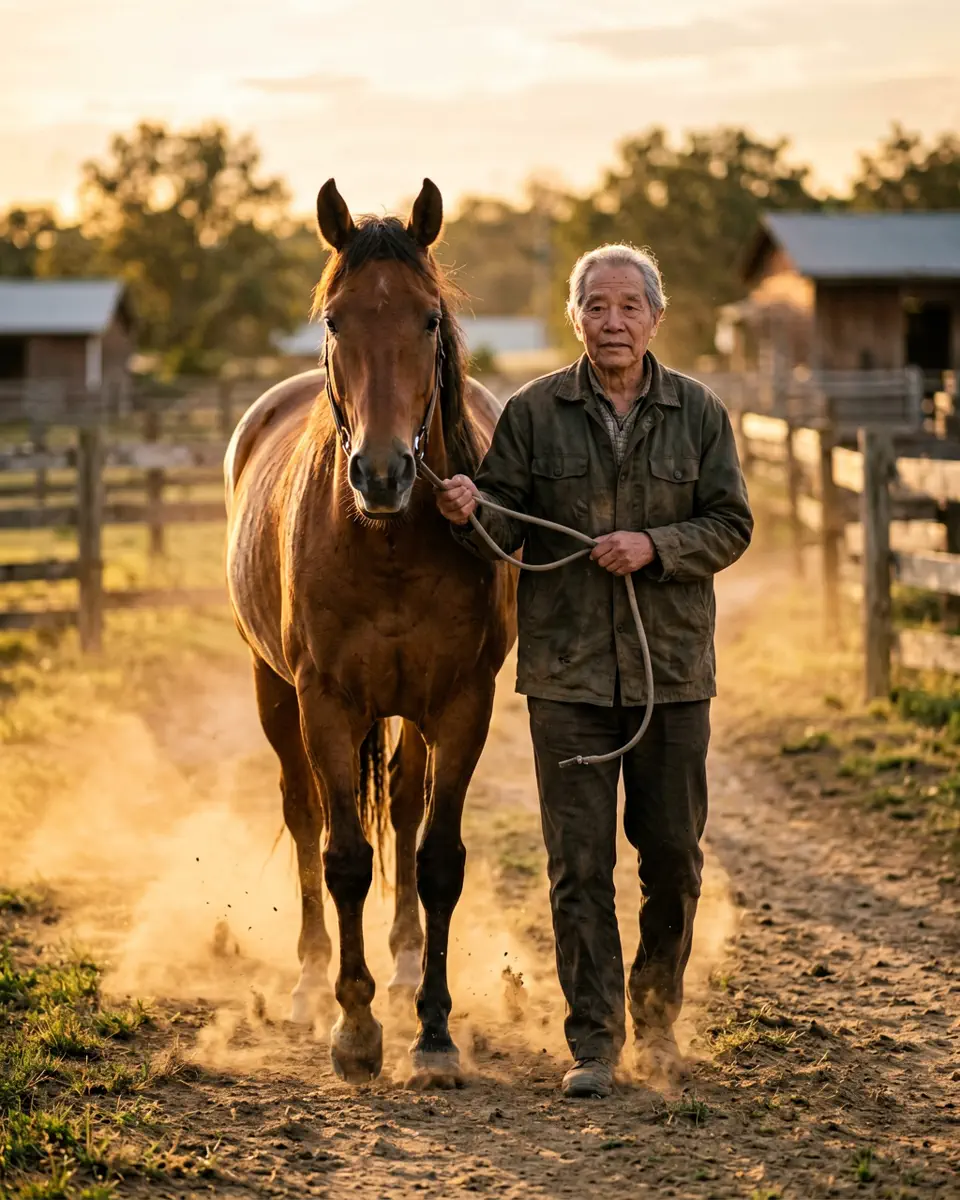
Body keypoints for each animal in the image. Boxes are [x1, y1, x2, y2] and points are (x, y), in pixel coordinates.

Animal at [224, 178, 516, 1085]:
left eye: (427, 319)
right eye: (334, 320)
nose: (383, 474)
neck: (385, 540)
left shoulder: (463, 702)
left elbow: (437, 858)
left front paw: (433, 1031)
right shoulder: (322, 701)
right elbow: (344, 854)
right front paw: (353, 1029)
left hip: (411, 713)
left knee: (406, 806)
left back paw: (408, 962)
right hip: (272, 690)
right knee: (305, 815)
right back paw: (310, 982)